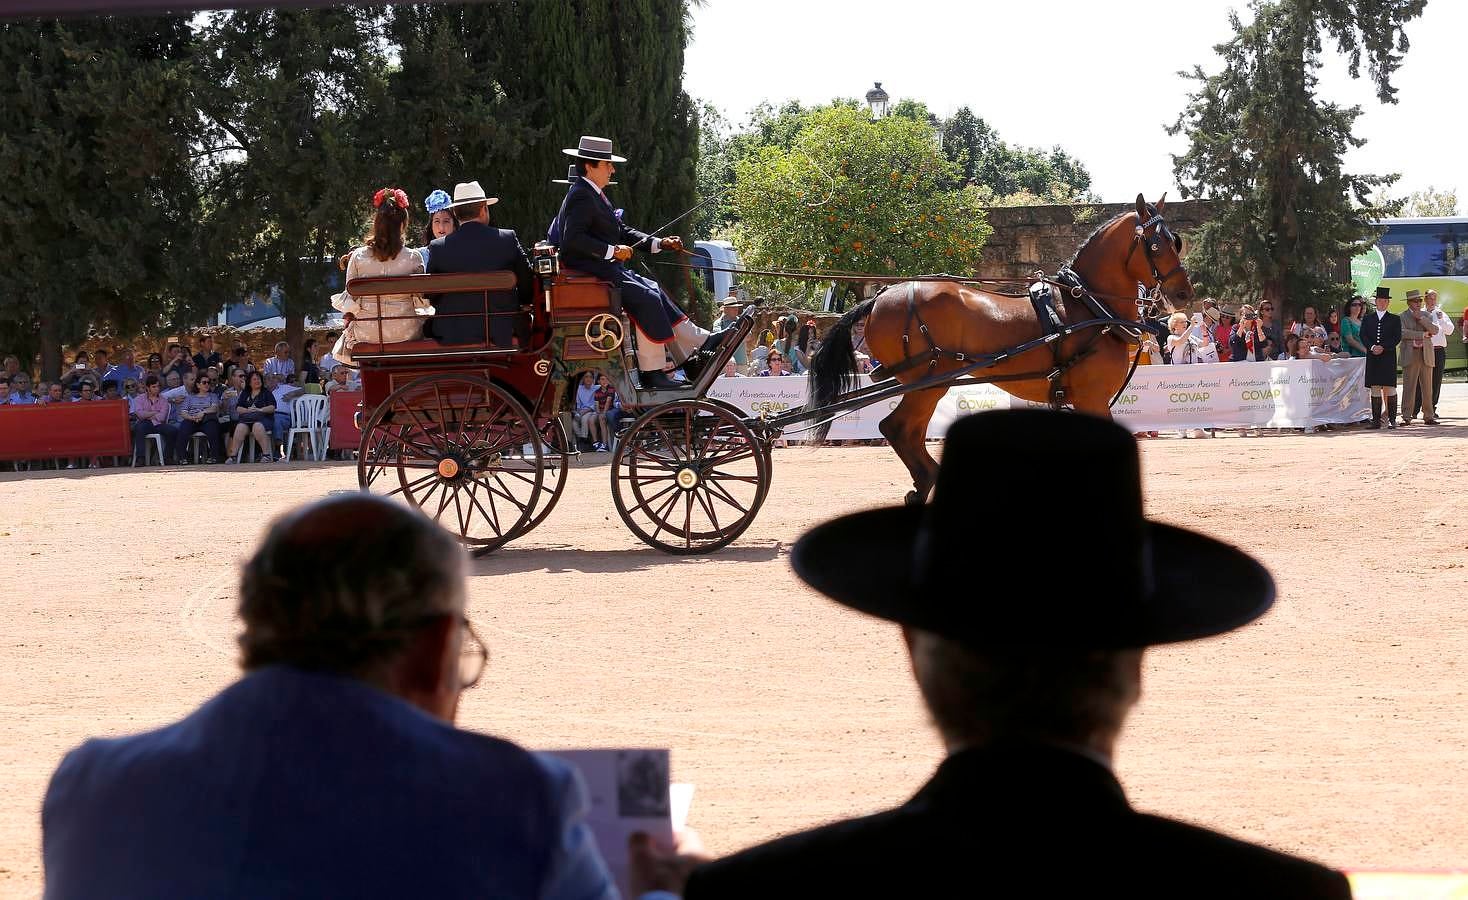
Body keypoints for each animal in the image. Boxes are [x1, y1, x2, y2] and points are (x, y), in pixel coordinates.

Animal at [810, 193, 1197, 505]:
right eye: (1156, 245)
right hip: (928, 382)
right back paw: (925, 483)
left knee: (906, 431)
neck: (1088, 307)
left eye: (1176, 241)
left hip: (925, 385)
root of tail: (880, 297)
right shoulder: (1093, 397)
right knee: (898, 428)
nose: (1184, 293)